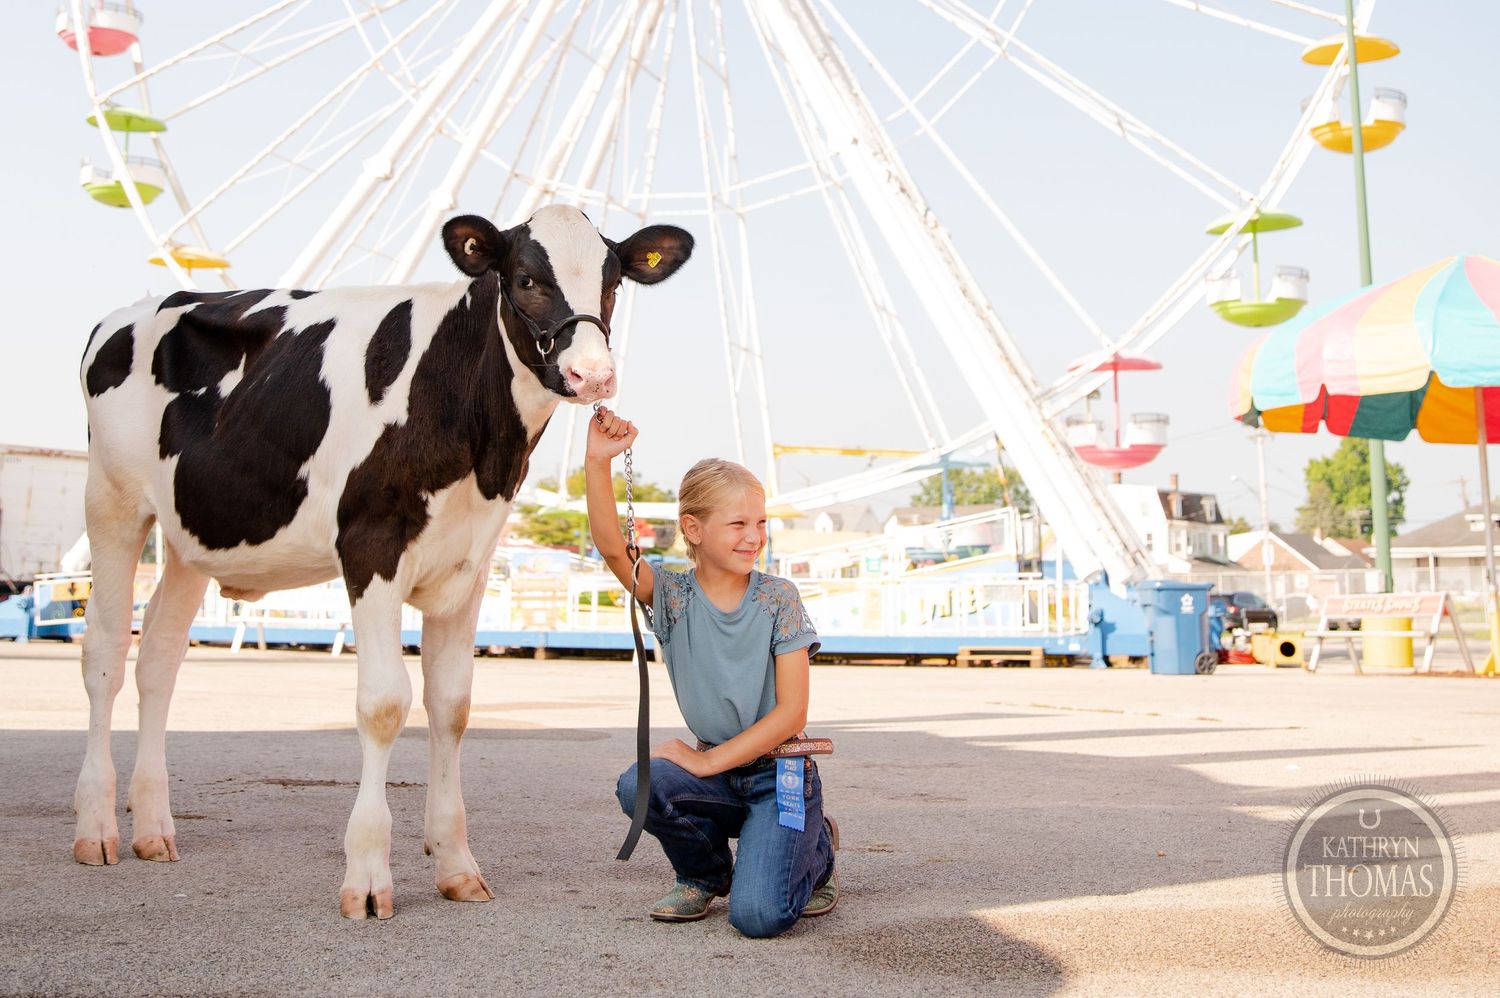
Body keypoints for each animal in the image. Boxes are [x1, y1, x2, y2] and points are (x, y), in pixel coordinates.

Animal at [72, 204, 693, 919]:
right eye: (527, 279)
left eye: (613, 282)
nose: (594, 375)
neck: (477, 439)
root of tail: (136, 309)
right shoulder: (370, 545)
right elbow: (384, 704)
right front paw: (367, 875)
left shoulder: (469, 564)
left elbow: (452, 705)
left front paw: (456, 864)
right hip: (111, 504)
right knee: (105, 653)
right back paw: (96, 827)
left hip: (188, 535)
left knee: (159, 661)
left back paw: (152, 829)